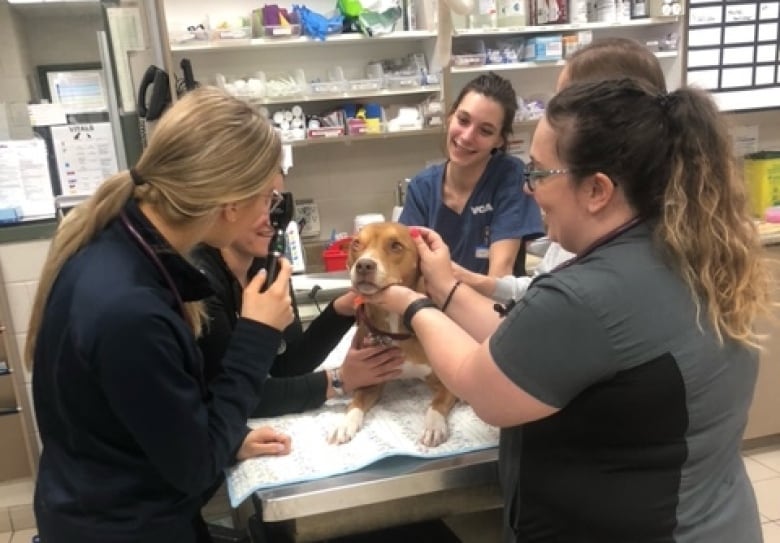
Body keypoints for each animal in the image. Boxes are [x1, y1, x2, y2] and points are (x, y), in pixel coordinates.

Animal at [328, 223, 460, 448]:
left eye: (396, 246)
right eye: (356, 244)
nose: (364, 265)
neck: (394, 325)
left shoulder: (448, 382)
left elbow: (437, 402)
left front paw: (434, 425)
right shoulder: (369, 379)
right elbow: (355, 403)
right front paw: (345, 423)